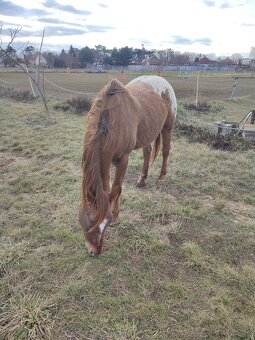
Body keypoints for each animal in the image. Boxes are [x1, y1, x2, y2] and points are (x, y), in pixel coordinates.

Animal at [78, 74, 176, 255]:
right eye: (90, 222)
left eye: (106, 223)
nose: (94, 251)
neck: (111, 120)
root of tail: (162, 80)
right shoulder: (108, 161)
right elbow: (109, 189)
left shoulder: (123, 159)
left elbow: (116, 189)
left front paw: (117, 217)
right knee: (147, 152)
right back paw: (142, 180)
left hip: (167, 127)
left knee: (166, 150)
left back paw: (161, 177)